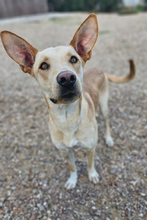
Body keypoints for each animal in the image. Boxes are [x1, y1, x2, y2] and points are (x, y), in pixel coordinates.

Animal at [0, 13, 136, 189]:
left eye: (73, 59)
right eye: (43, 66)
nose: (66, 78)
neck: (67, 118)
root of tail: (100, 69)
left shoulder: (90, 147)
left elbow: (90, 163)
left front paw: (92, 175)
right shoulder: (65, 151)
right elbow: (72, 166)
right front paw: (72, 180)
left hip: (104, 105)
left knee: (106, 122)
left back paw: (108, 138)